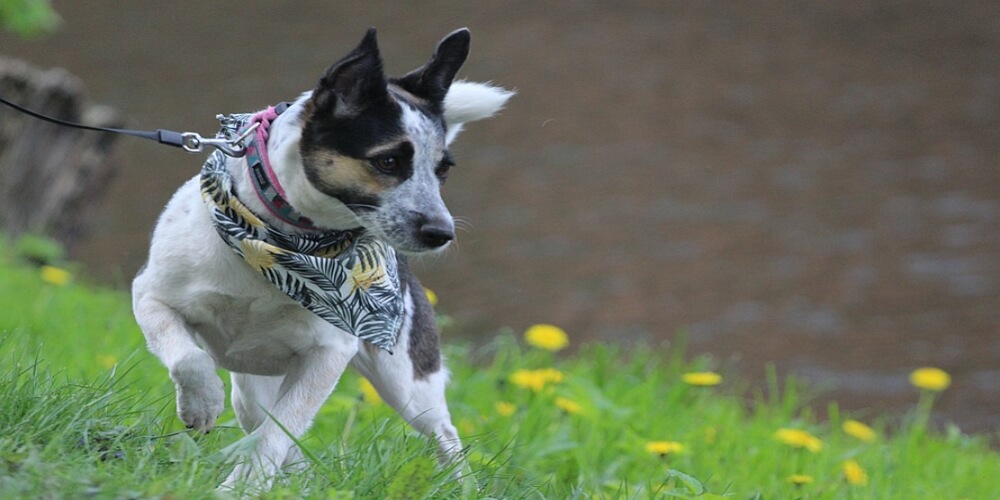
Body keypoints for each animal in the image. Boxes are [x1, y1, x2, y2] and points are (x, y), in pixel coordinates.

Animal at [130, 26, 512, 488]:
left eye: (442, 170)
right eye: (387, 161)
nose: (442, 233)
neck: (279, 247)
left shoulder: (327, 355)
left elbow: (280, 431)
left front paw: (244, 486)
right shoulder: (151, 297)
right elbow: (190, 358)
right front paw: (201, 404)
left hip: (407, 383)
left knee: (444, 432)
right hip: (252, 390)